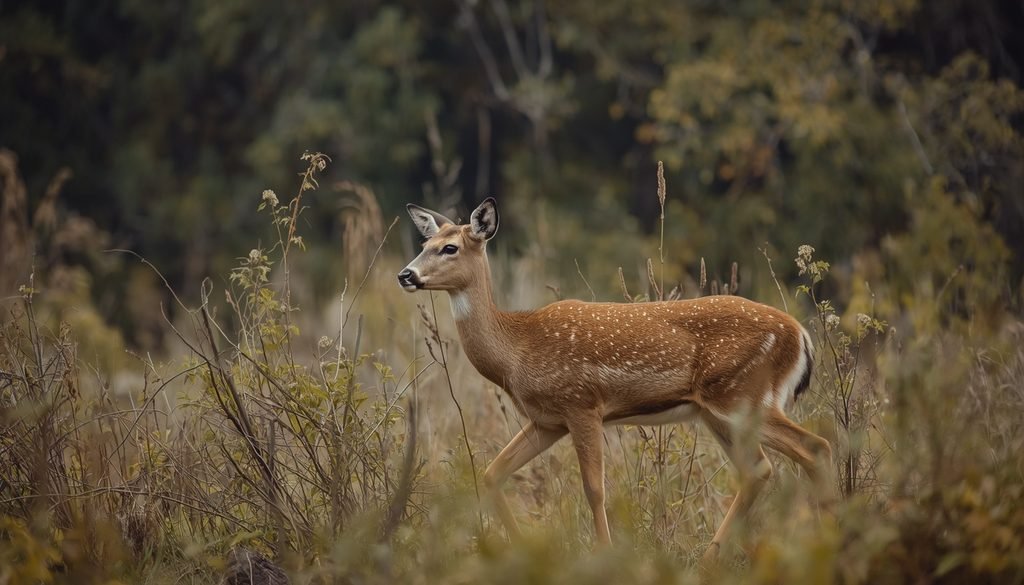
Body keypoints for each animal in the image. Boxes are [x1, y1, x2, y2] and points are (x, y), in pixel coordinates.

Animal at [398, 198, 835, 561]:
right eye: (426, 240)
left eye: (450, 247)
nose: (406, 274)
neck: (516, 349)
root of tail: (800, 334)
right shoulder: (547, 420)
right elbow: (492, 474)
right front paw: (521, 552)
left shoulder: (581, 404)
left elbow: (594, 489)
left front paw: (605, 557)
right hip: (718, 412)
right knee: (760, 470)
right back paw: (713, 559)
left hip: (744, 396)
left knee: (815, 447)